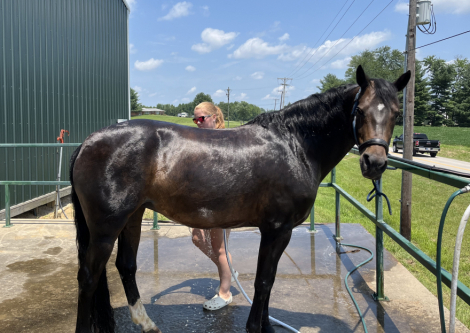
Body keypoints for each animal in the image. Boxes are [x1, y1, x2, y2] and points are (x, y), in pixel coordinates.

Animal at [70, 66, 412, 330]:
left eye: (397, 113)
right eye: (360, 110)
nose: (374, 162)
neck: (295, 144)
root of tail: (89, 141)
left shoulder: (277, 232)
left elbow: (268, 280)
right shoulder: (277, 230)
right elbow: (263, 282)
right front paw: (255, 327)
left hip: (132, 217)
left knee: (125, 267)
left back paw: (146, 323)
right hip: (106, 228)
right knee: (88, 277)